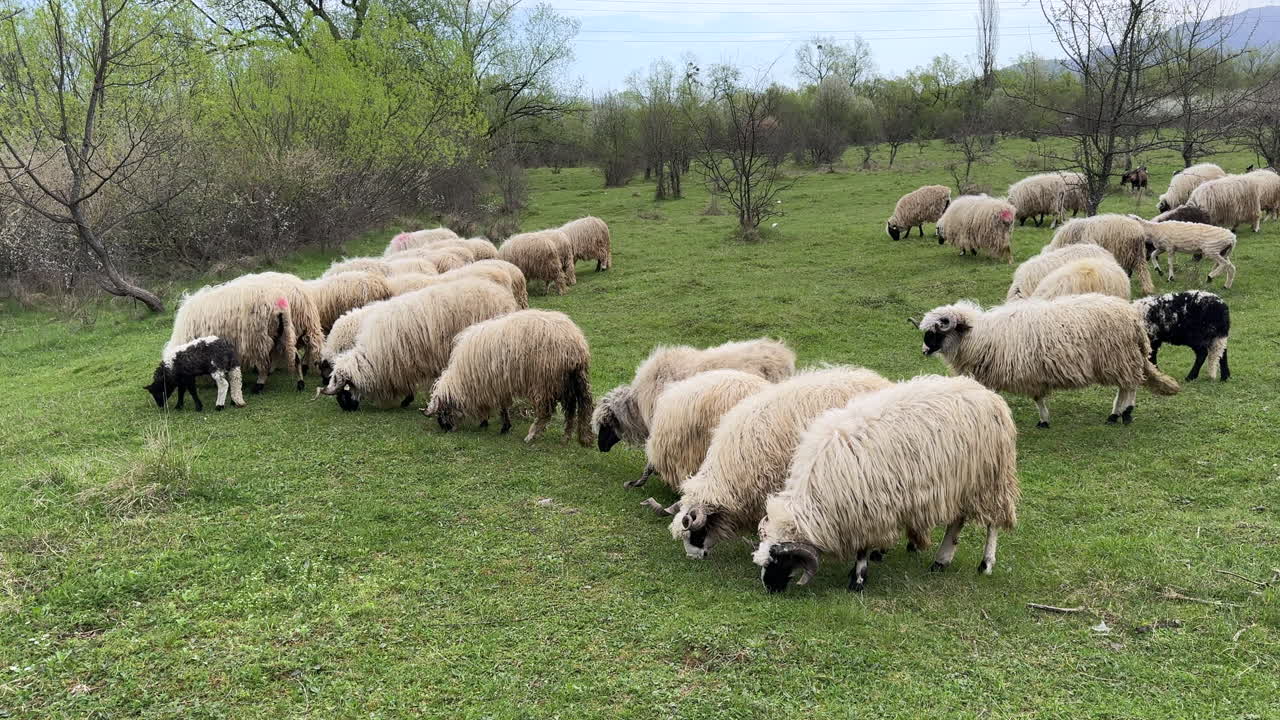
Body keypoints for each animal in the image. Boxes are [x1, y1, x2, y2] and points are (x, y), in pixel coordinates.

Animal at [319, 278, 518, 411]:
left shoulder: (401, 359)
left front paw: (407, 399)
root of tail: (502, 296)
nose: (345, 408)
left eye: (343, 389)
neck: (375, 356)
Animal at [422, 309, 593, 445]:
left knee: (546, 412)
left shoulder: (493, 384)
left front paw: (497, 424)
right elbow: (501, 406)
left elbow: (501, 407)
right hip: (567, 381)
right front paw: (494, 423)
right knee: (572, 410)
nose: (445, 429)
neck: (463, 380)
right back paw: (566, 437)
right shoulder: (497, 385)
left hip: (545, 381)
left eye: (443, 411)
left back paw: (531, 435)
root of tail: (576, 345)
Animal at [753, 375, 1020, 593]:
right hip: (962, 484)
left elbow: (862, 548)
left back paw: (985, 563)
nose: (770, 587)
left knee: (993, 523)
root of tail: (988, 394)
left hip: (991, 479)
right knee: (957, 521)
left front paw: (858, 580)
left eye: (780, 559)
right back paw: (941, 560)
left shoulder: (867, 508)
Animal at [917, 294, 1179, 428]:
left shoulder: (1030, 373)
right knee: (1128, 384)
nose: (924, 350)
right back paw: (1120, 412)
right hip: (1121, 359)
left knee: (1129, 385)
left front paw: (1043, 420)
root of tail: (1133, 319)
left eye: (937, 332)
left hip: (1118, 357)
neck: (980, 336)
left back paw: (1121, 413)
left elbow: (1038, 398)